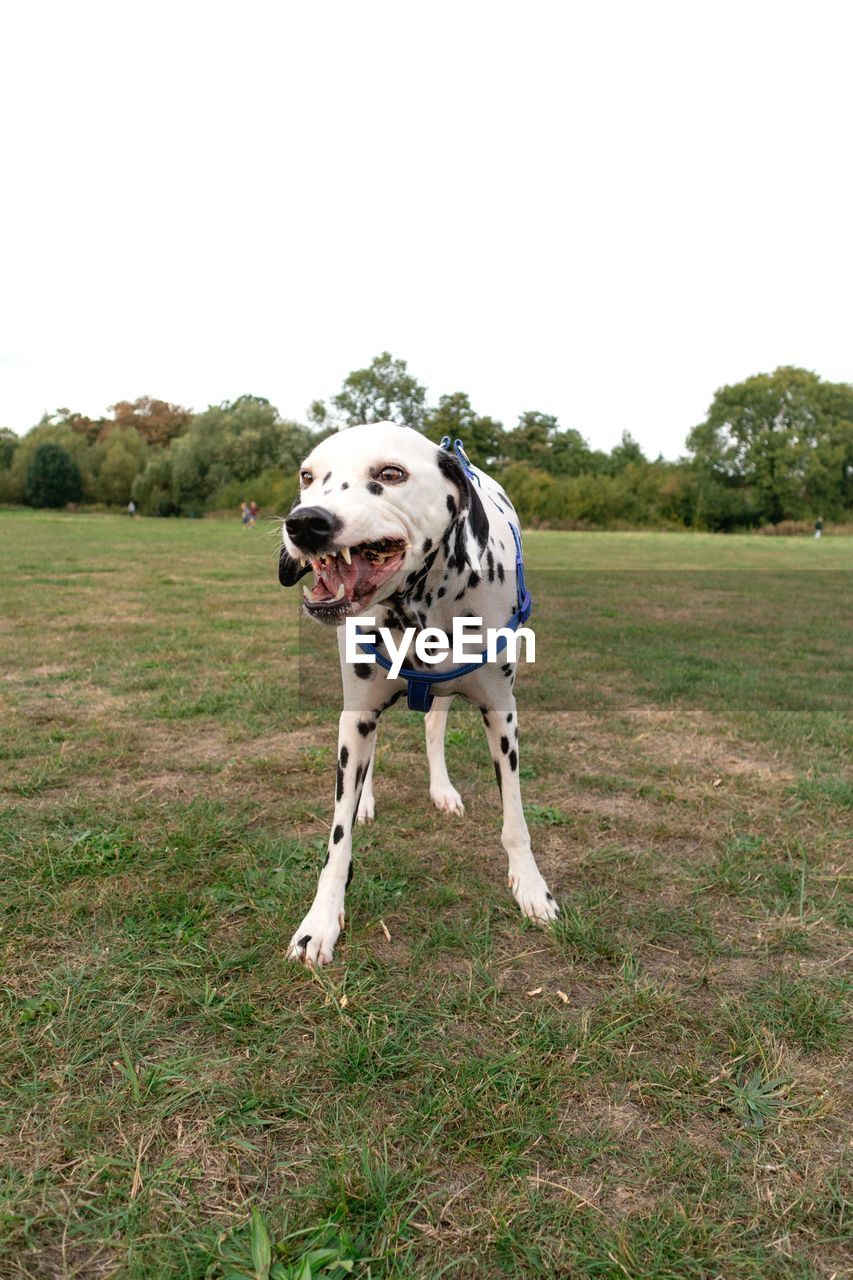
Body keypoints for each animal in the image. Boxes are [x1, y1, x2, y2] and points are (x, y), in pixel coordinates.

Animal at [277, 424, 558, 962]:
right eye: (307, 476)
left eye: (391, 473)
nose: (305, 523)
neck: (419, 607)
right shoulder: (358, 715)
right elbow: (337, 838)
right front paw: (319, 921)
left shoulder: (502, 714)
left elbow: (515, 820)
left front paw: (532, 888)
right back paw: (366, 799)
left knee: (433, 727)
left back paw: (442, 789)